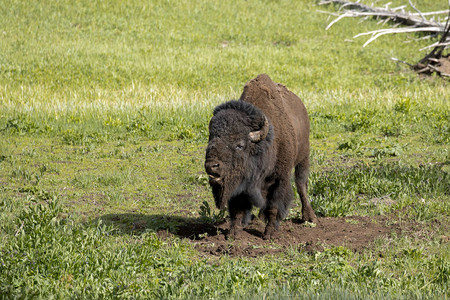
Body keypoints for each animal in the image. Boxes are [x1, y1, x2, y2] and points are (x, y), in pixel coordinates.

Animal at [204, 73, 316, 239]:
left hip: (303, 158)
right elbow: (237, 209)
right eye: (211, 140)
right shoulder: (240, 185)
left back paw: (309, 217)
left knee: (301, 184)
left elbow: (274, 207)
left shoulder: (280, 179)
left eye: (240, 145)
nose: (212, 166)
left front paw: (269, 234)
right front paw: (233, 233)